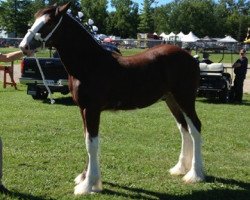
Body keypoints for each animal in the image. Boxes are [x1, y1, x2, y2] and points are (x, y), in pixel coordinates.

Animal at [19, 1, 203, 195]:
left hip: (185, 98)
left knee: (195, 128)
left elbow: (91, 143)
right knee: (183, 129)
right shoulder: (82, 109)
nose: (24, 46)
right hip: (171, 100)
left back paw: (195, 174)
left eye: (48, 22)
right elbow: (87, 139)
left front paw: (88, 185)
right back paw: (180, 168)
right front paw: (86, 178)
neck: (90, 64)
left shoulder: (92, 109)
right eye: (35, 19)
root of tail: (191, 57)